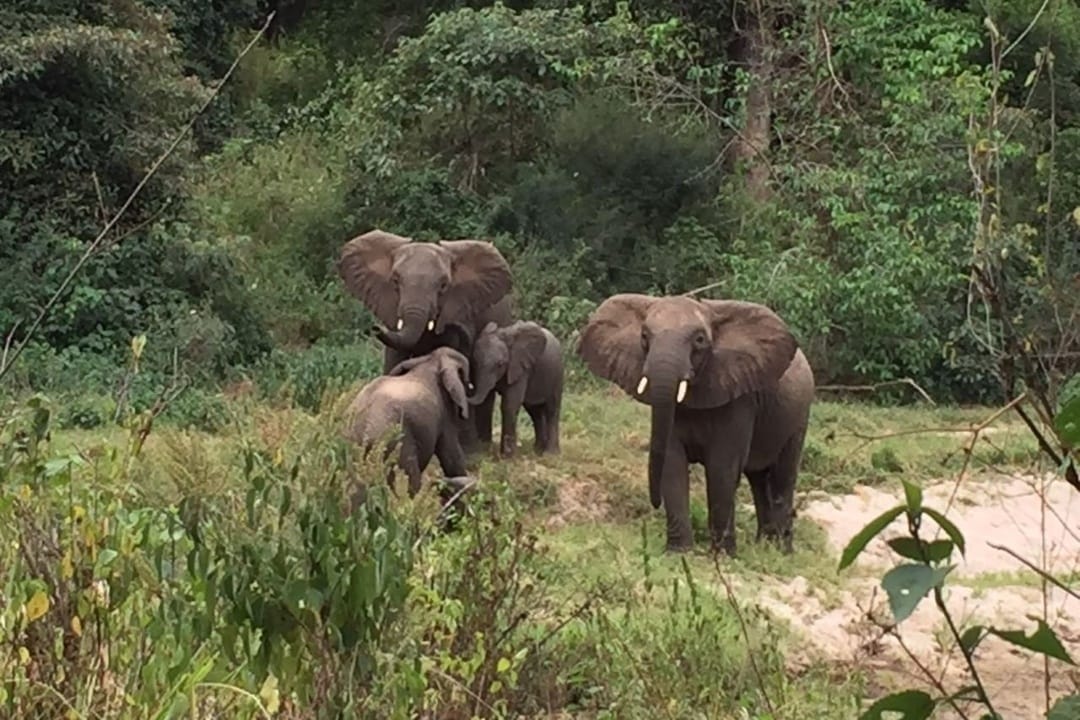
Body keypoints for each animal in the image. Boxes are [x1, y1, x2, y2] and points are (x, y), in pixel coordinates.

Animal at [467, 320, 564, 457]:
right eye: (474, 362)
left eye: (500, 364)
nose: (468, 385)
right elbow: (487, 400)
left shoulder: (520, 368)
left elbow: (510, 404)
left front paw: (507, 457)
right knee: (535, 412)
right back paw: (538, 449)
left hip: (557, 374)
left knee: (552, 409)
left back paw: (550, 454)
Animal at [577, 294, 814, 556]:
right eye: (644, 336)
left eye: (700, 340)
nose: (654, 503)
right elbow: (672, 463)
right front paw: (678, 553)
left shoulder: (739, 398)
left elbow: (722, 468)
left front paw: (722, 556)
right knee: (758, 480)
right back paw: (764, 547)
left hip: (799, 415)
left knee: (782, 477)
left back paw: (781, 552)